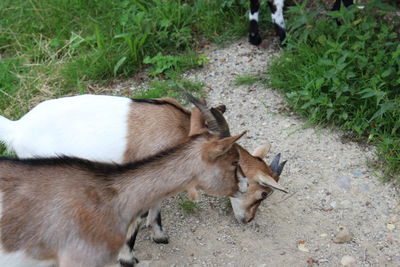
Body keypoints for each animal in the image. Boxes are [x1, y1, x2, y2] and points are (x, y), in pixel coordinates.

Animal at [0, 94, 288, 266]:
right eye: (263, 193)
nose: (247, 219)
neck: (179, 127)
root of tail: (17, 128)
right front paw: (130, 255)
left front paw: (158, 233)